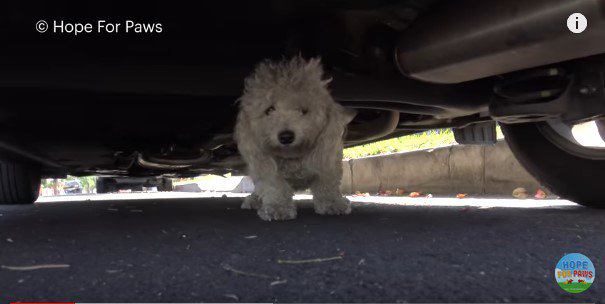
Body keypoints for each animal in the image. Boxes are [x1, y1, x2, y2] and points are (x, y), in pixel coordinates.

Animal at [234, 55, 356, 220]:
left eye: (304, 110)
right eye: (269, 110)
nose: (286, 137)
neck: (293, 157)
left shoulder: (328, 157)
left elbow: (327, 182)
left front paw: (332, 203)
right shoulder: (267, 165)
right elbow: (274, 184)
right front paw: (278, 207)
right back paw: (254, 200)